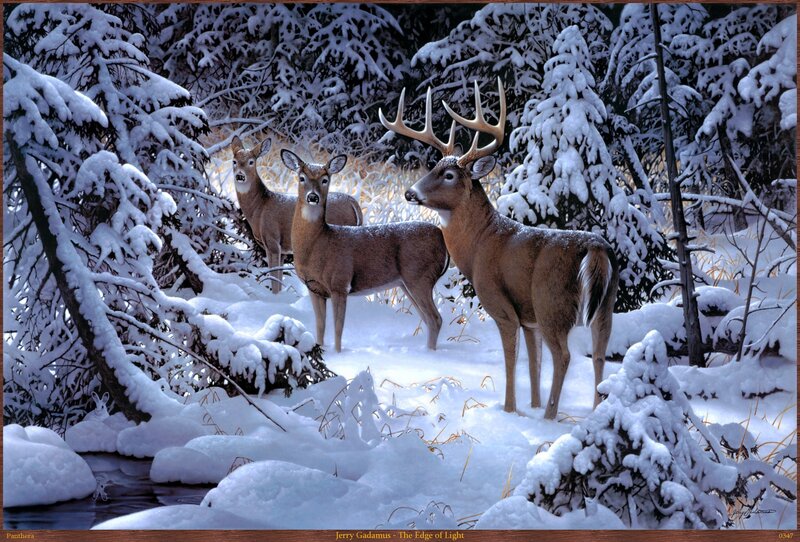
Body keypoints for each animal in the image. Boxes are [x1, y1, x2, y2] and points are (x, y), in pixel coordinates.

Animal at [230, 136, 363, 293]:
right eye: (234, 161)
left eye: (251, 162)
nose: (240, 175)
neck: (259, 207)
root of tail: (354, 203)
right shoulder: (283, 250)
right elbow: (279, 279)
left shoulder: (272, 240)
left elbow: (274, 280)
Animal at [281, 149, 449, 353]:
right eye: (302, 178)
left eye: (325, 179)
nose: (313, 197)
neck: (317, 244)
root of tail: (442, 240)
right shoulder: (314, 288)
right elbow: (320, 326)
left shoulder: (340, 283)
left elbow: (338, 328)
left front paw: (338, 354)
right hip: (407, 283)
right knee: (428, 320)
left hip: (420, 276)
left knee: (435, 319)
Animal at [379, 79, 619, 419]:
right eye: (433, 167)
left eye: (449, 175)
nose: (410, 192)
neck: (480, 243)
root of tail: (596, 247)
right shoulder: (529, 317)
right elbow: (533, 363)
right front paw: (531, 404)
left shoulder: (503, 306)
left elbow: (511, 360)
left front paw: (510, 409)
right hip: (604, 305)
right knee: (598, 355)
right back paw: (595, 411)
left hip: (552, 302)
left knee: (564, 356)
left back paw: (550, 418)